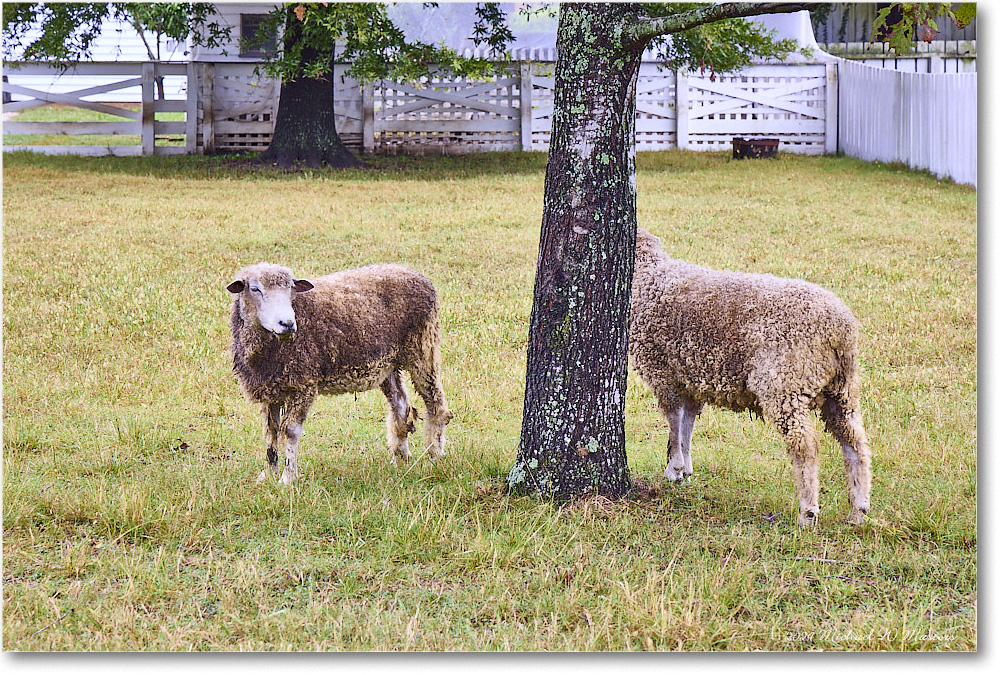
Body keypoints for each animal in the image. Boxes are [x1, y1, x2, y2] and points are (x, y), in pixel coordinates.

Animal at [226, 262, 454, 484]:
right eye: (255, 289)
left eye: (291, 288)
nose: (287, 324)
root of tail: (418, 275)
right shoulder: (270, 388)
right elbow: (271, 431)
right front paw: (268, 474)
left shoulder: (304, 383)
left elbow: (290, 431)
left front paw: (287, 478)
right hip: (388, 364)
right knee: (400, 406)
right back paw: (400, 459)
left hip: (423, 346)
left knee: (435, 403)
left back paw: (434, 455)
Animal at [628, 230, 872, 524]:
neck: (650, 278)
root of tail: (841, 329)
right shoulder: (690, 378)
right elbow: (688, 423)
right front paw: (685, 469)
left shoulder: (661, 372)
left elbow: (674, 421)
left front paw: (673, 467)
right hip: (842, 389)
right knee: (855, 442)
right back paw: (858, 509)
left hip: (785, 384)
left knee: (806, 447)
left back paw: (808, 512)